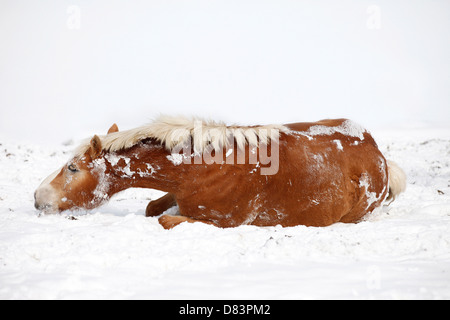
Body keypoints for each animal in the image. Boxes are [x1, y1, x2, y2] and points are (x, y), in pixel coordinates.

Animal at [35, 116, 406, 229]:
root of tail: (378, 154)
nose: (38, 198)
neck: (201, 167)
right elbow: (153, 207)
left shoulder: (223, 222)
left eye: (72, 168)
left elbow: (165, 218)